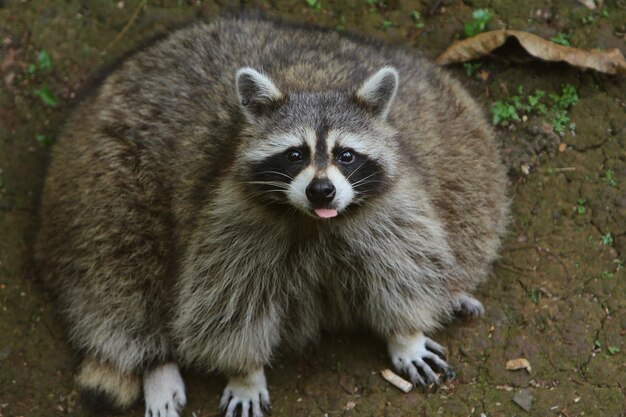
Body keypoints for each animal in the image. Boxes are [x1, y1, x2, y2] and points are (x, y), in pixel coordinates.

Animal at [34, 13, 508, 416]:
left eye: (346, 154)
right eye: (295, 154)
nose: (322, 190)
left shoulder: (391, 207)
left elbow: (404, 267)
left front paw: (405, 333)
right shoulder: (229, 219)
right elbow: (226, 303)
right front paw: (244, 372)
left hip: (457, 136)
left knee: (472, 206)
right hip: (102, 183)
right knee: (121, 275)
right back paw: (156, 363)